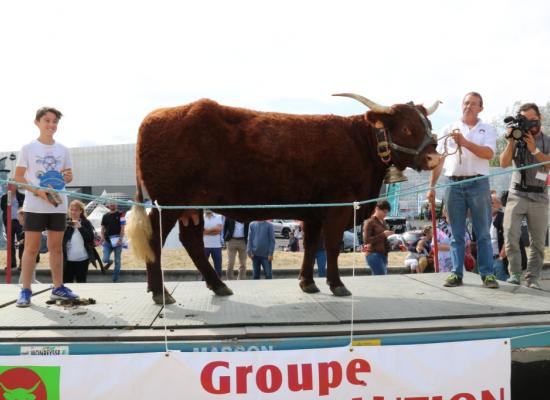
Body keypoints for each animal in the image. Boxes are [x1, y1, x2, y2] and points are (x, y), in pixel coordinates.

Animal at [127, 94, 442, 304]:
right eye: (406, 128)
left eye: (427, 123)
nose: (435, 157)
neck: (360, 143)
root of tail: (153, 116)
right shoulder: (337, 209)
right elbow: (331, 247)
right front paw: (337, 284)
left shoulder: (314, 212)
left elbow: (311, 246)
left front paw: (308, 283)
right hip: (169, 204)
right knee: (157, 239)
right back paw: (161, 292)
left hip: (190, 206)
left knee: (190, 240)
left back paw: (217, 286)